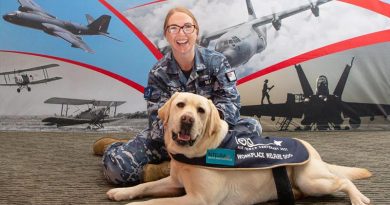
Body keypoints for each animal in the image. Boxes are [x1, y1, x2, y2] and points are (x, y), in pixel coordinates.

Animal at [106, 93, 372, 205]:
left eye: (201, 110)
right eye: (180, 105)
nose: (187, 120)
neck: (196, 152)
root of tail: (311, 147)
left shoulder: (198, 199)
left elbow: (154, 202)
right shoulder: (175, 183)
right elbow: (145, 186)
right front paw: (122, 193)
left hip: (311, 180)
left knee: (343, 181)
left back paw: (358, 199)